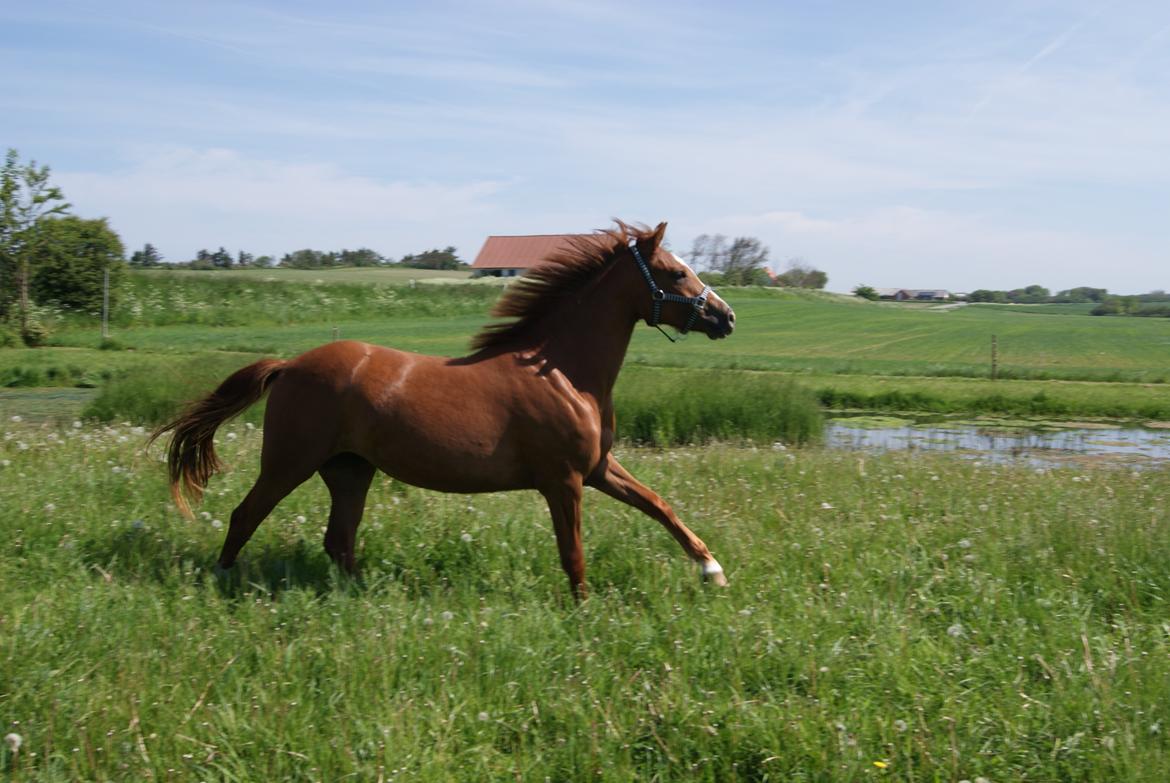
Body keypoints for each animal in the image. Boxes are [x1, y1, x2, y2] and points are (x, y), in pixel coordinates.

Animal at [155, 222, 734, 594]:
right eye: (675, 272)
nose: (725, 317)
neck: (564, 374)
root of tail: (290, 365)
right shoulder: (564, 480)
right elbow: (574, 554)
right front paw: (583, 611)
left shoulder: (596, 467)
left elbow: (659, 504)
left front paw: (712, 570)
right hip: (289, 462)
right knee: (246, 514)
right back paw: (223, 581)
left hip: (349, 470)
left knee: (338, 540)